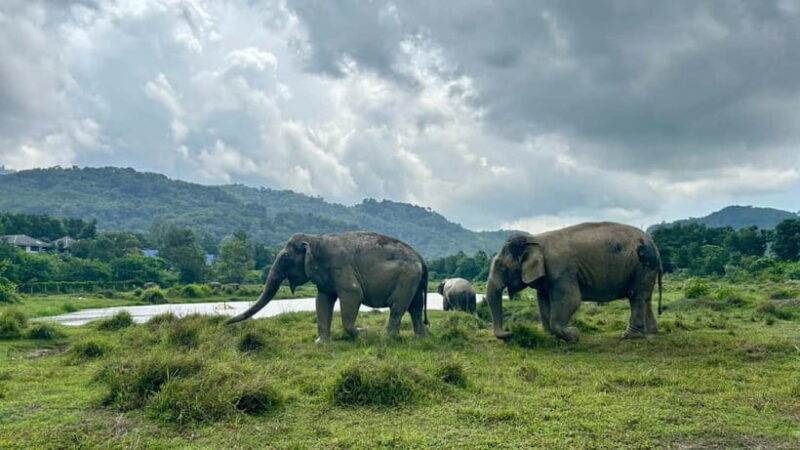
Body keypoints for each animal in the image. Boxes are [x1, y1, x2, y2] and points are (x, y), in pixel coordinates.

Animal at [226, 231, 429, 342]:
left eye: (286, 258)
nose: (224, 323)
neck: (315, 239)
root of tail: (421, 257)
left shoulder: (339, 265)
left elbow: (353, 293)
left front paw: (363, 334)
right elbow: (322, 300)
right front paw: (321, 343)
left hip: (407, 277)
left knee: (398, 306)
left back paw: (384, 338)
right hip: (414, 280)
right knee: (415, 307)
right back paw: (420, 338)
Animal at [486, 222, 662, 343]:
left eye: (502, 267)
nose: (509, 332)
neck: (534, 239)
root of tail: (653, 243)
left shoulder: (561, 270)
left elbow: (571, 299)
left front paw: (574, 334)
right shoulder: (547, 277)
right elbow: (543, 302)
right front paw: (551, 335)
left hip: (643, 264)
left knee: (637, 296)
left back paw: (629, 335)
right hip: (645, 269)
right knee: (645, 297)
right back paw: (651, 333)